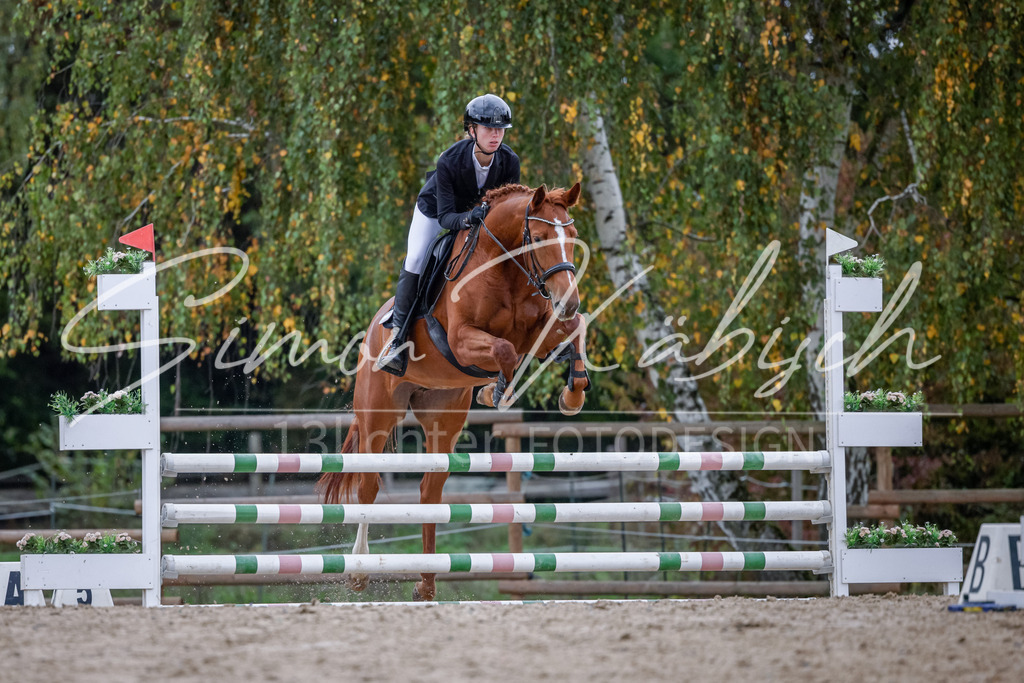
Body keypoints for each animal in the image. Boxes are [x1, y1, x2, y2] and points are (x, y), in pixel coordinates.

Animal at [317, 182, 589, 601]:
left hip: (443, 418)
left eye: (572, 236)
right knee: (367, 486)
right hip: (378, 413)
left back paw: (427, 583)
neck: (507, 271)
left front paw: (572, 395)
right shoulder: (462, 341)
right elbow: (505, 350)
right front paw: (499, 392)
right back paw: (360, 572)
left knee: (430, 492)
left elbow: (575, 328)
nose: (568, 300)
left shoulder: (541, 331)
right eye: (541, 237)